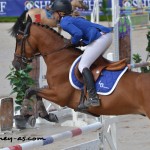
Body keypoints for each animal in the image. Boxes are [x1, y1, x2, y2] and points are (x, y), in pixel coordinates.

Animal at [10, 16, 150, 119]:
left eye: (19, 39)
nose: (15, 63)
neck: (58, 58)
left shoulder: (59, 95)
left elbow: (31, 91)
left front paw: (24, 111)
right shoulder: (52, 90)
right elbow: (35, 91)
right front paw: (46, 115)